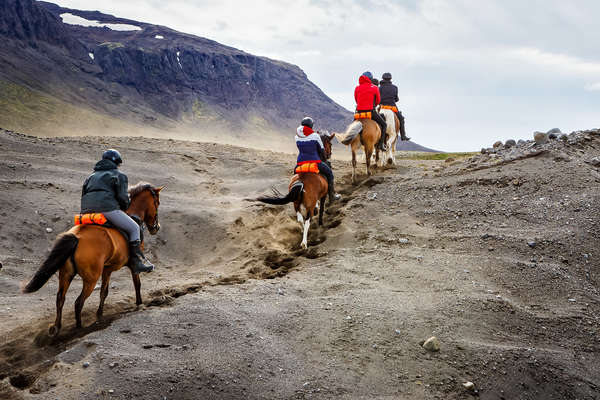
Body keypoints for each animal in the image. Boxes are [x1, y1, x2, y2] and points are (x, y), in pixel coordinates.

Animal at [22, 183, 164, 336]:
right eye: (157, 203)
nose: (156, 227)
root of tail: (77, 237)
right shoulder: (132, 267)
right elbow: (137, 284)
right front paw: (139, 303)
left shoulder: (107, 269)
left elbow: (104, 292)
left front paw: (99, 315)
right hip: (91, 279)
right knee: (78, 302)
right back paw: (79, 328)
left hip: (66, 274)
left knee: (60, 298)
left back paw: (57, 328)